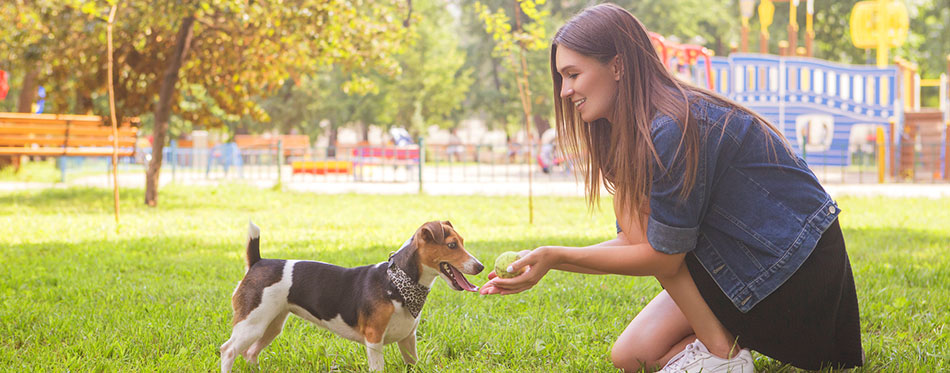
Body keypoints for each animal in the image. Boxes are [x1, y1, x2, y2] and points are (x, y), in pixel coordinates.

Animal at [221, 219, 484, 370]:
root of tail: (258, 261)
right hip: (252, 324)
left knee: (250, 352)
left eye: (462, 242)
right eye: (452, 245)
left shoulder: (408, 340)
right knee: (229, 351)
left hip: (271, 325)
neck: (396, 282)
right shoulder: (374, 339)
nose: (481, 266)